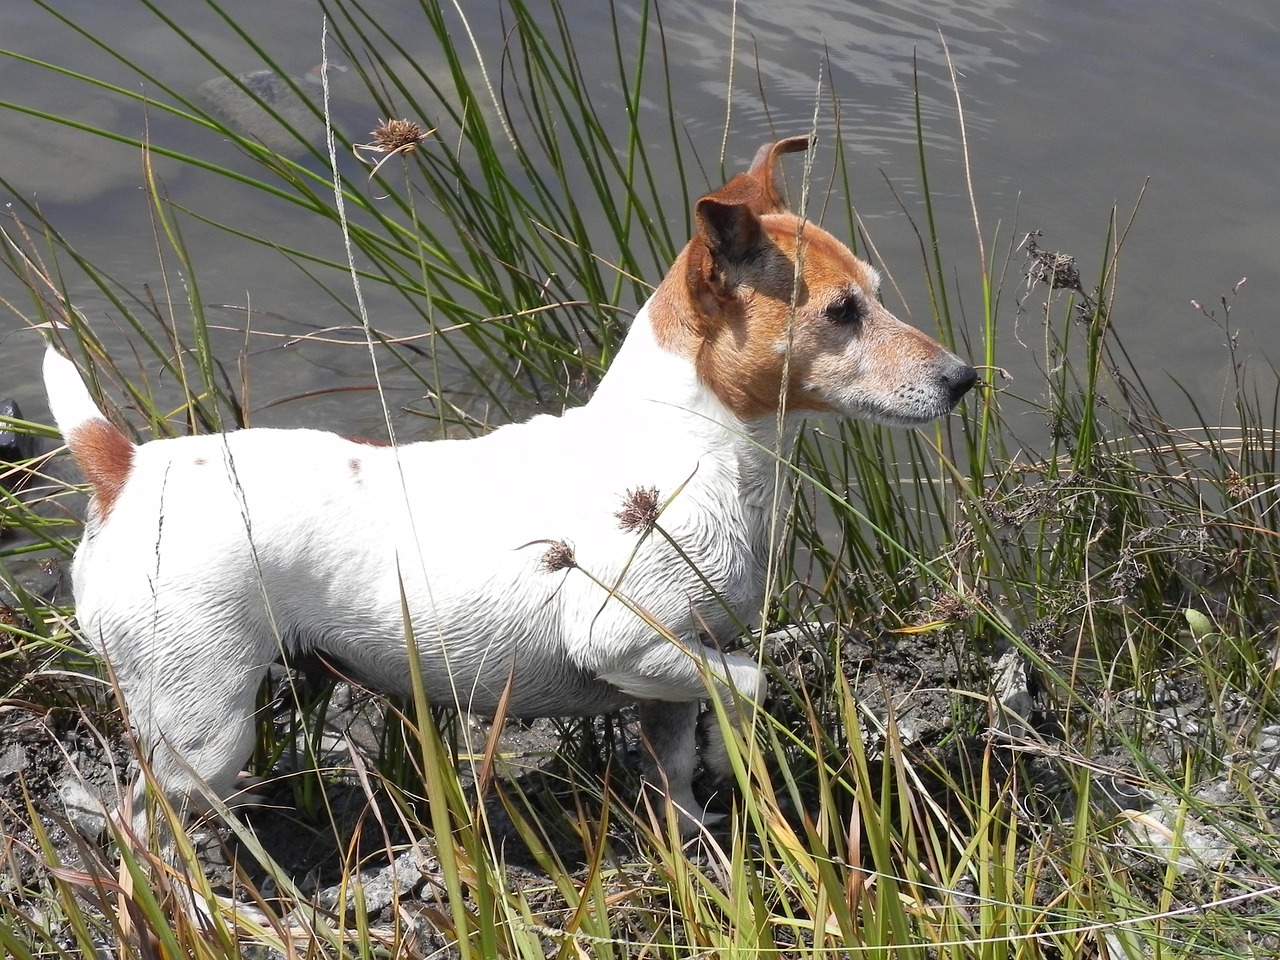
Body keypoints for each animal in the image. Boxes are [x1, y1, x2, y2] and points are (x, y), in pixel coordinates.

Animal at [45, 135, 972, 834]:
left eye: (874, 295)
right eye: (842, 313)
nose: (963, 379)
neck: (694, 442)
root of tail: (126, 467)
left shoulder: (670, 676)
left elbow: (674, 767)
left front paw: (695, 834)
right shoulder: (622, 640)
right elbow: (747, 681)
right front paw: (731, 756)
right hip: (203, 732)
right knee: (142, 837)